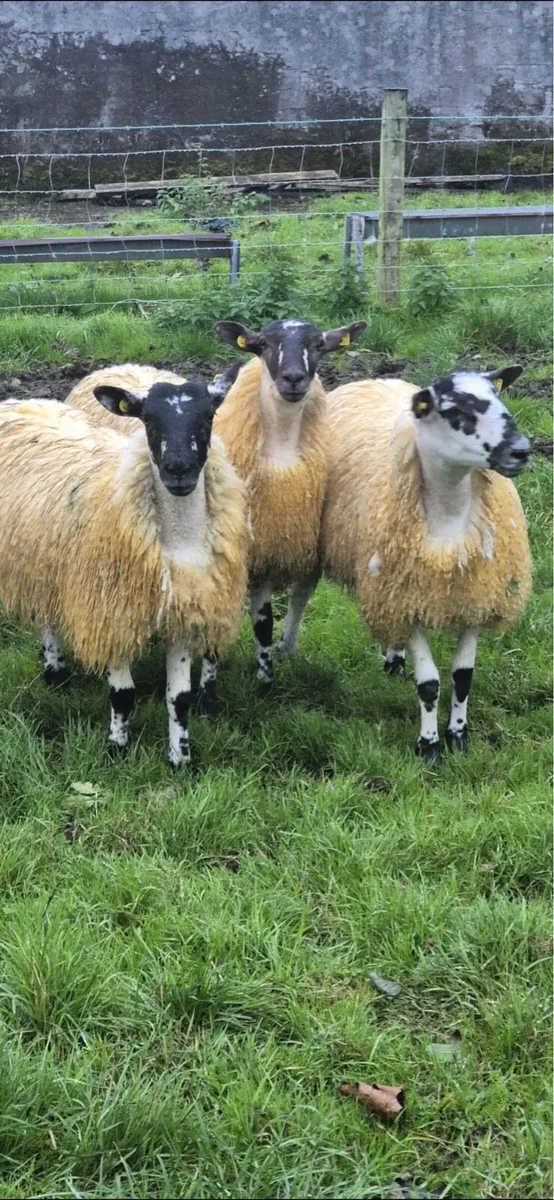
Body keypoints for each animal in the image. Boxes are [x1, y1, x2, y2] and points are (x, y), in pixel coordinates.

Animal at [0, 363, 248, 766]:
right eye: (147, 419)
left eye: (209, 415)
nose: (178, 469)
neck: (177, 541)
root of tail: (18, 401)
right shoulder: (112, 614)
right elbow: (122, 695)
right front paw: (116, 749)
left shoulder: (183, 610)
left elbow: (178, 699)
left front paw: (181, 759)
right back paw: (55, 673)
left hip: (47, 558)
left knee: (48, 611)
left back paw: (56, 674)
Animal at [212, 317, 366, 683]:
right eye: (263, 344)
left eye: (319, 345)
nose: (294, 378)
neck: (281, 449)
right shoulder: (257, 550)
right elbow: (263, 620)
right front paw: (263, 678)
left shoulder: (298, 541)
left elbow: (288, 606)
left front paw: (274, 664)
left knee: (299, 597)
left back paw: (289, 647)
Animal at [279, 365, 532, 760]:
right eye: (455, 411)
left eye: (499, 397)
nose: (521, 451)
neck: (449, 518)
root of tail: (375, 380)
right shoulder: (408, 602)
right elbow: (428, 683)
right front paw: (428, 746)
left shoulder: (475, 595)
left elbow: (462, 677)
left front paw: (459, 736)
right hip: (321, 537)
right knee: (300, 595)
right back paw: (287, 647)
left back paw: (394, 660)